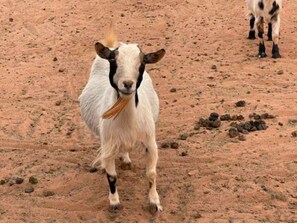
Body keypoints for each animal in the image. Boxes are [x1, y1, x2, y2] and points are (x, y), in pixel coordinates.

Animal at [78, 24, 165, 213]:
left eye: (143, 62)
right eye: (113, 60)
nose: (127, 84)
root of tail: (111, 45)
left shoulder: (150, 141)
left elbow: (151, 173)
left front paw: (154, 202)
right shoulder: (108, 143)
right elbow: (111, 176)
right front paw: (114, 202)